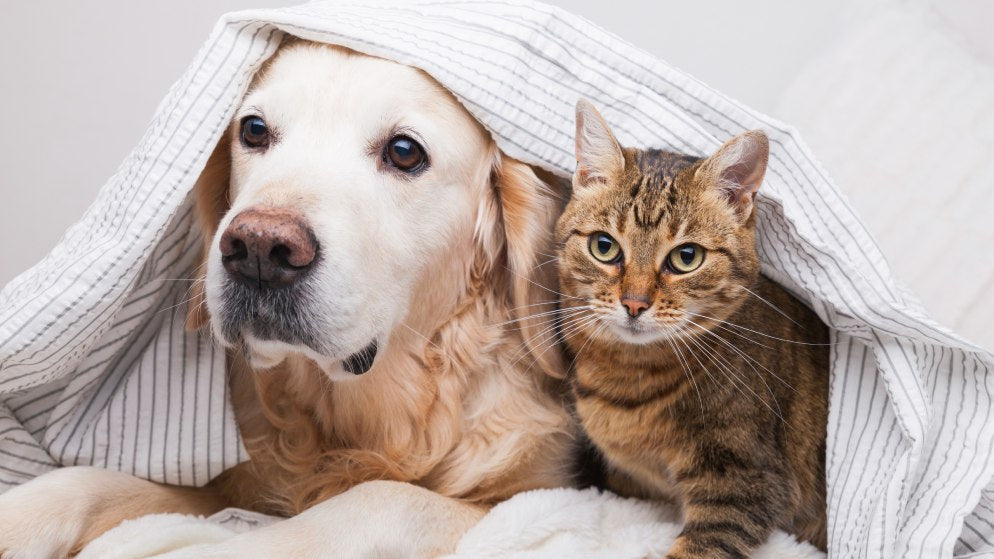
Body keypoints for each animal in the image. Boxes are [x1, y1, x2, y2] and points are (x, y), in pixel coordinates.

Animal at [0, 41, 572, 556]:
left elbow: (380, 499)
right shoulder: (233, 485)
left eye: (405, 152)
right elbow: (84, 481)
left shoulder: (539, 493)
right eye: (254, 130)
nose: (259, 249)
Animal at [560, 98, 828, 556]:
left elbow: (698, 546)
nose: (634, 303)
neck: (628, 378)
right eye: (604, 246)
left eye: (687, 257)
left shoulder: (745, 478)